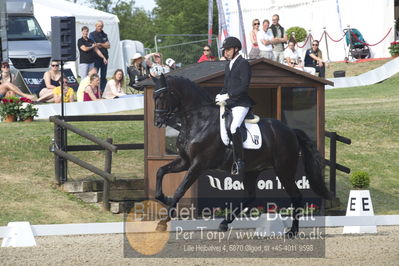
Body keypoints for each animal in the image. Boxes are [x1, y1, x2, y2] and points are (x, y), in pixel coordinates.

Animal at [152, 74, 330, 236]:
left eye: (163, 96)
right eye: (154, 96)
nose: (157, 121)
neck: (199, 121)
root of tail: (291, 131)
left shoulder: (198, 164)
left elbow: (180, 189)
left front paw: (163, 222)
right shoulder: (185, 161)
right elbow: (160, 171)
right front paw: (164, 199)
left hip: (284, 170)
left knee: (296, 196)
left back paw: (293, 231)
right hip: (253, 170)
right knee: (251, 197)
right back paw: (224, 223)